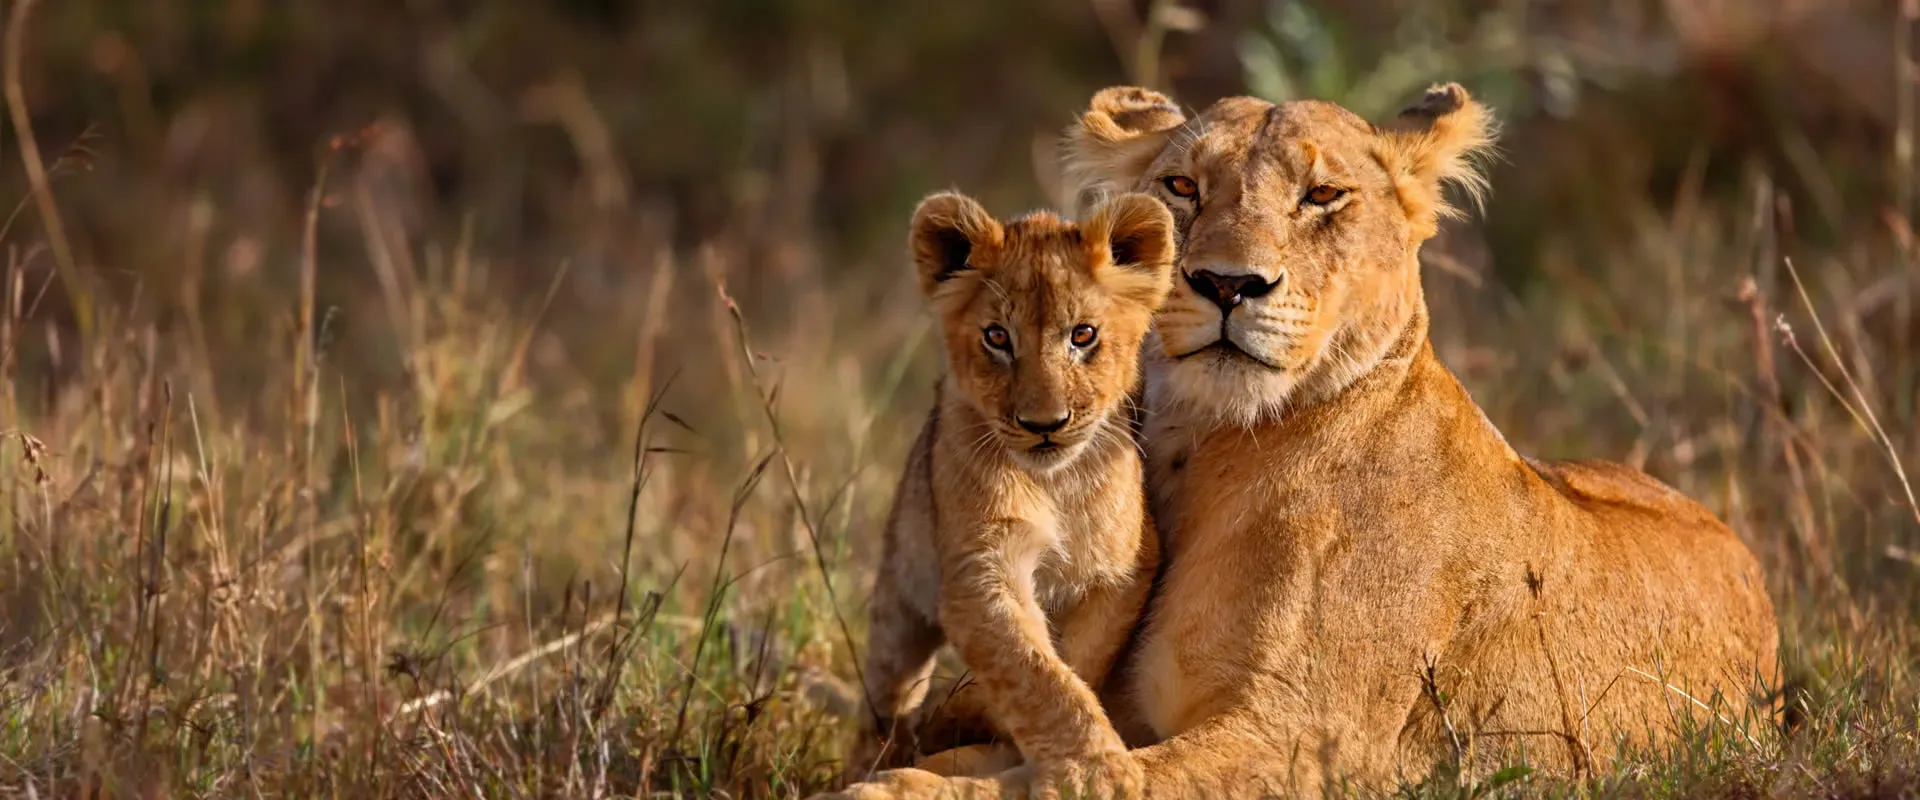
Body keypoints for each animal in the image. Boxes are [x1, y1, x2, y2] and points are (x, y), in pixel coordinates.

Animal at [836, 190, 1179, 795]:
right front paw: (1098, 771)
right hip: (900, 598)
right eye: (997, 337)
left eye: (1083, 335)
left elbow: (1074, 661)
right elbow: (1035, 673)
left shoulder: (1124, 569)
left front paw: (981, 716)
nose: (1045, 424)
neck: (1055, 482)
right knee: (886, 695)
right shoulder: (980, 571)